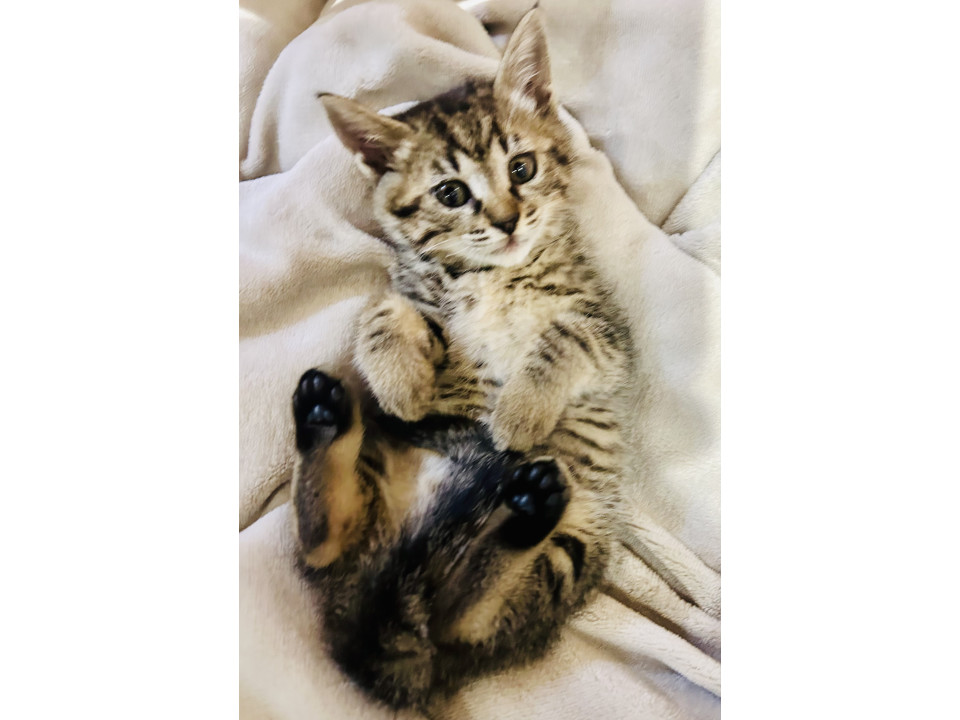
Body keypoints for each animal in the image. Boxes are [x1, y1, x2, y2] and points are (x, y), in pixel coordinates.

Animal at [291, 9, 634, 710]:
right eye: (451, 193)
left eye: (523, 168)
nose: (507, 221)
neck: (495, 277)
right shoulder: (417, 295)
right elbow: (386, 309)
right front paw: (400, 383)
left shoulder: (605, 328)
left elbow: (563, 339)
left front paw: (520, 415)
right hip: (382, 457)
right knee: (326, 545)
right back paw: (322, 418)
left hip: (574, 546)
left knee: (463, 618)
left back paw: (525, 505)